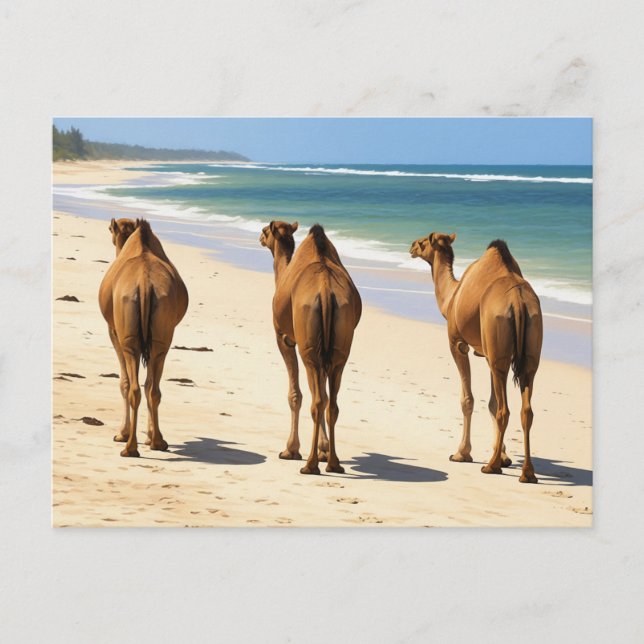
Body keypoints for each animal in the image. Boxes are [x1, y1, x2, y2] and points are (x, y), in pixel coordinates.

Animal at [98, 218, 188, 457]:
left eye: (110, 229)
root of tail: (145, 284)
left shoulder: (113, 331)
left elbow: (124, 382)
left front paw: (121, 433)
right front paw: (147, 436)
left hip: (128, 338)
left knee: (134, 387)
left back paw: (130, 446)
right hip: (162, 337)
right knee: (152, 388)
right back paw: (157, 441)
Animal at [259, 222, 362, 474]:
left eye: (266, 230)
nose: (260, 235)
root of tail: (325, 291)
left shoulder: (284, 337)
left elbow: (295, 394)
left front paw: (291, 450)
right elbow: (323, 396)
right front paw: (324, 450)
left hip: (310, 351)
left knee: (316, 401)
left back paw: (310, 464)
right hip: (339, 349)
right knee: (330, 403)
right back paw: (333, 463)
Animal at [410, 233, 543, 483]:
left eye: (422, 242)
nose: (411, 246)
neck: (451, 298)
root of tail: (518, 302)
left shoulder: (458, 344)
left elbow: (468, 400)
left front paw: (462, 453)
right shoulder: (487, 353)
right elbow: (491, 402)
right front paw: (504, 456)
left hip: (499, 352)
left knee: (504, 410)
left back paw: (491, 466)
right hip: (528, 351)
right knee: (526, 410)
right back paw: (527, 473)